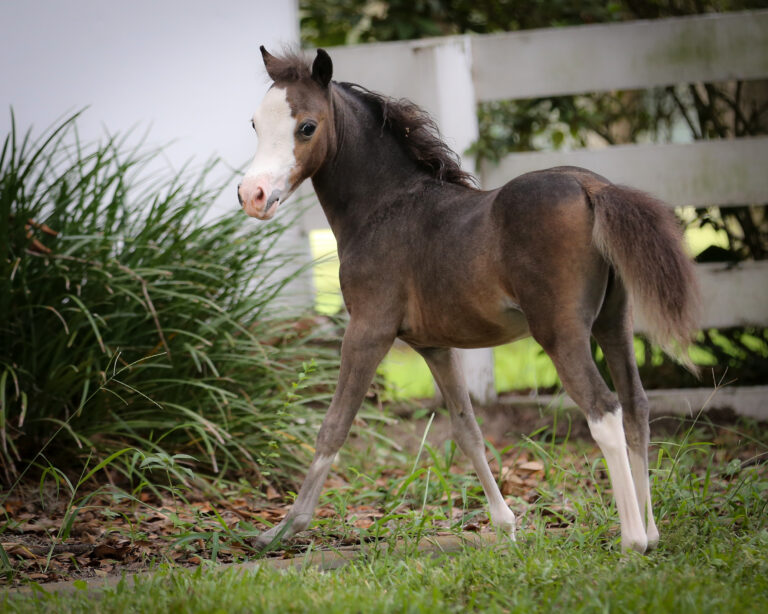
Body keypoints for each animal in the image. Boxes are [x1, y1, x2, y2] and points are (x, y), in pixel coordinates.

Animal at [237, 47, 700, 553]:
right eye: (255, 123)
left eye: (306, 126)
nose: (252, 195)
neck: (385, 206)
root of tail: (591, 188)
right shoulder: (436, 347)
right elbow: (467, 429)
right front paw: (506, 526)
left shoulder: (367, 330)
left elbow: (333, 426)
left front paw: (282, 529)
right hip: (614, 323)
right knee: (636, 406)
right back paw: (652, 531)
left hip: (561, 333)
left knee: (604, 411)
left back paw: (632, 541)